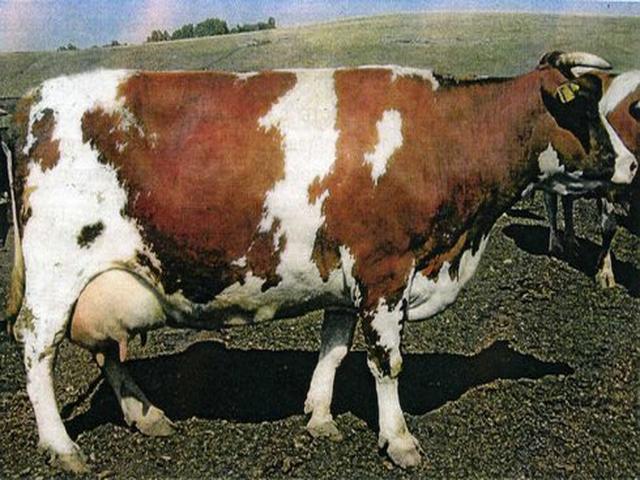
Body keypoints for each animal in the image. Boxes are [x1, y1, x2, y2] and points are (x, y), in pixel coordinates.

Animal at [541, 71, 640, 287]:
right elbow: (609, 226)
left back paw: (571, 241)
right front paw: (605, 272)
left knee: (567, 202)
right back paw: (555, 244)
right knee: (551, 205)